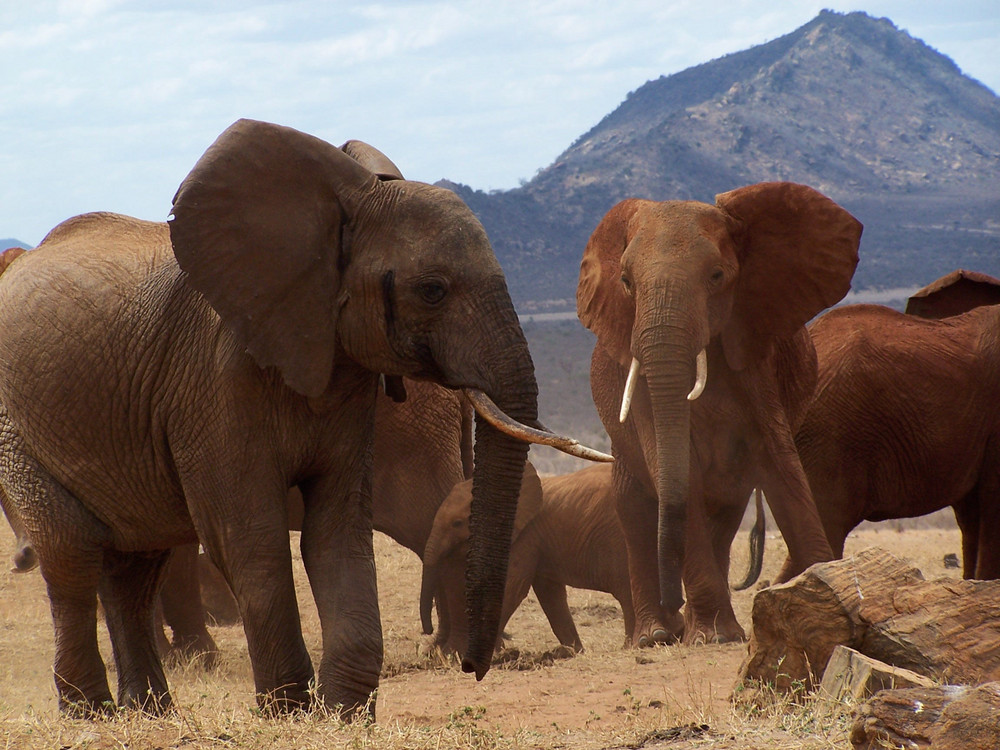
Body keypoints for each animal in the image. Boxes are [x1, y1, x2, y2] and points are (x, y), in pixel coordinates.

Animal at [0, 120, 600, 720]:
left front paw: (342, 712)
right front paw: (287, 711)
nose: (476, 670)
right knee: (74, 555)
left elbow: (336, 530)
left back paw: (150, 711)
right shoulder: (213, 378)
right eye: (432, 290)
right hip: (20, 430)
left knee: (133, 565)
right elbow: (250, 537)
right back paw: (93, 712)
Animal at [420, 462, 632, 656]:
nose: (427, 631)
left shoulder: (526, 535)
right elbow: (549, 592)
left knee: (626, 591)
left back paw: (630, 647)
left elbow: (512, 587)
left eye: (457, 523)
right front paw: (573, 652)